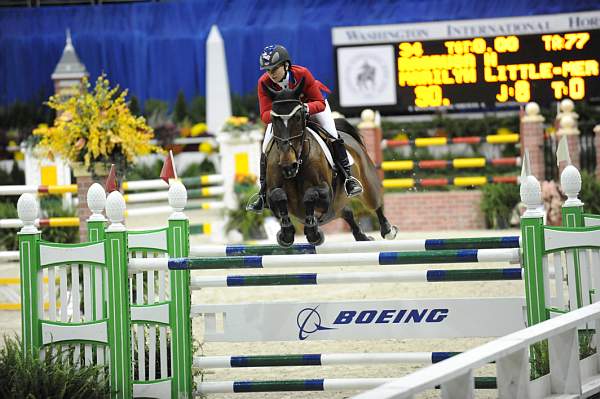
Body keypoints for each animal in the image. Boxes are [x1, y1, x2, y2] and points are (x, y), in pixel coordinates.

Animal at [262, 78, 398, 247]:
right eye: (274, 119)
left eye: (298, 117)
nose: (288, 166)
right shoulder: (271, 195)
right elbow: (278, 195)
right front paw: (286, 233)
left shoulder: (326, 193)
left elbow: (310, 195)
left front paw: (313, 232)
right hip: (336, 207)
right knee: (346, 212)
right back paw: (362, 236)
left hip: (366, 185)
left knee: (375, 204)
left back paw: (388, 230)